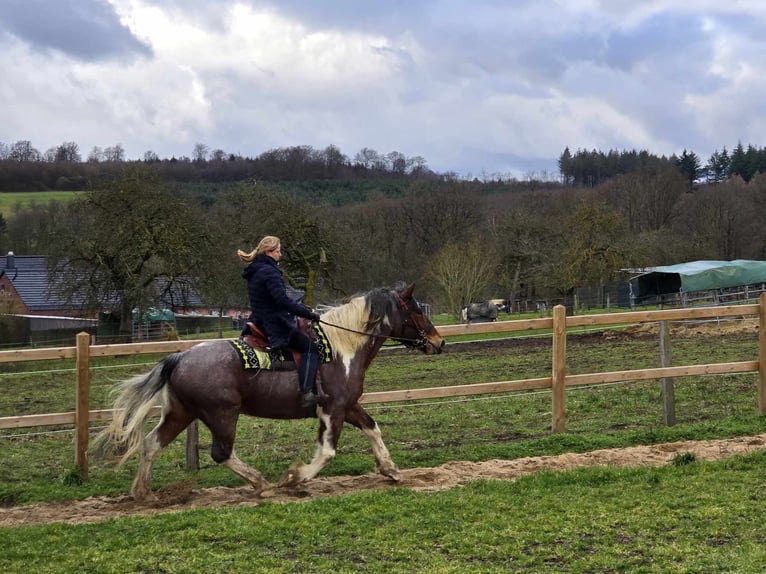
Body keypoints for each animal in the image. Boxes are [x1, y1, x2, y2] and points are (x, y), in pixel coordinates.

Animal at [94, 286, 448, 502]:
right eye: (417, 310)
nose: (439, 341)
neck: (341, 348)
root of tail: (179, 358)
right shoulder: (331, 409)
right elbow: (327, 452)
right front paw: (295, 478)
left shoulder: (348, 406)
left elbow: (373, 428)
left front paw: (390, 469)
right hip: (221, 415)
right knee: (221, 453)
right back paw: (261, 483)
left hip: (181, 413)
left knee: (151, 444)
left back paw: (145, 494)